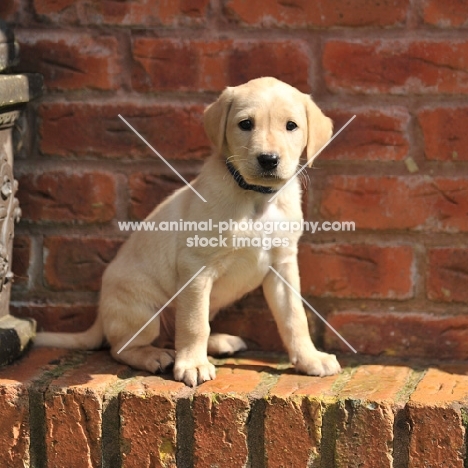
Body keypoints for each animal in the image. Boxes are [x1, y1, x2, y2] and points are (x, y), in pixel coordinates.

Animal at [33, 76, 340, 384]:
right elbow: (194, 323)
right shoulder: (197, 268)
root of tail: (99, 313)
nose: (268, 159)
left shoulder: (282, 265)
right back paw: (155, 355)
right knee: (122, 347)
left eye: (291, 126)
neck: (256, 198)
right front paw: (193, 364)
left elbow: (294, 317)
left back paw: (218, 342)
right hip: (142, 309)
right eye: (245, 124)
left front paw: (310, 359)